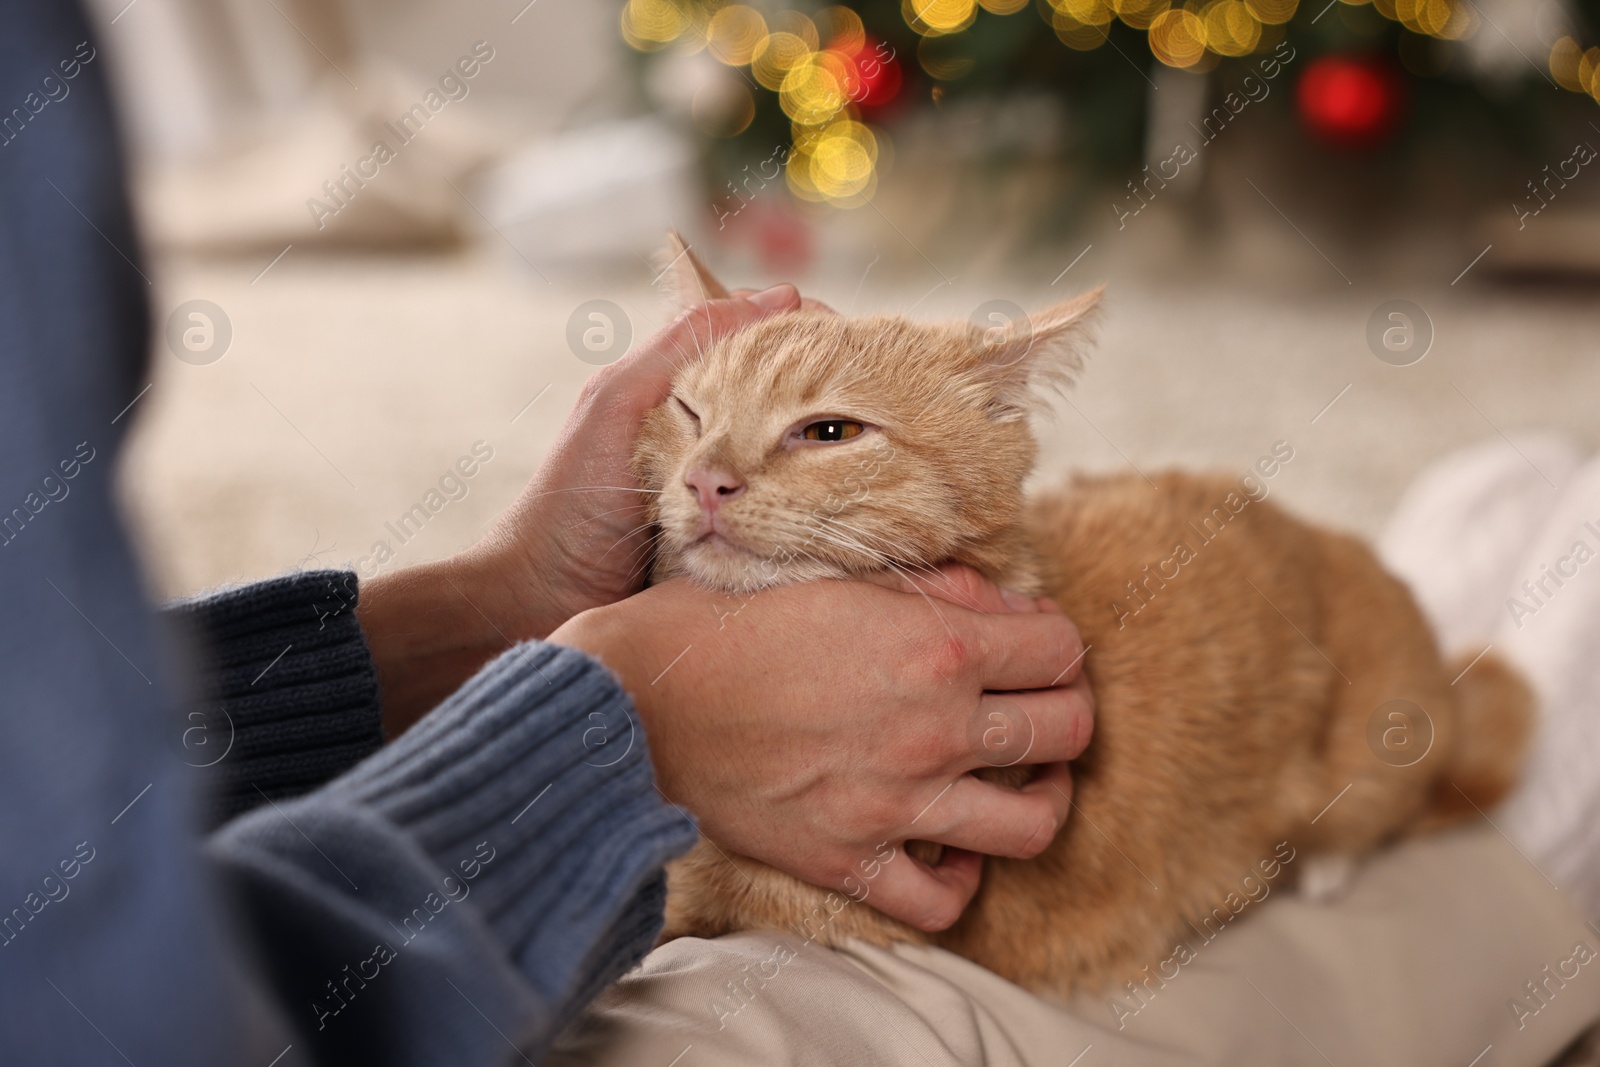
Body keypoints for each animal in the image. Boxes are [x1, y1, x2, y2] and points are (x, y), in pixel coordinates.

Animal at [627, 235, 1536, 1004]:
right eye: (689, 413)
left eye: (828, 432)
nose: (706, 480)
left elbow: (696, 903)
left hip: (1382, 740)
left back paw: (1320, 866)